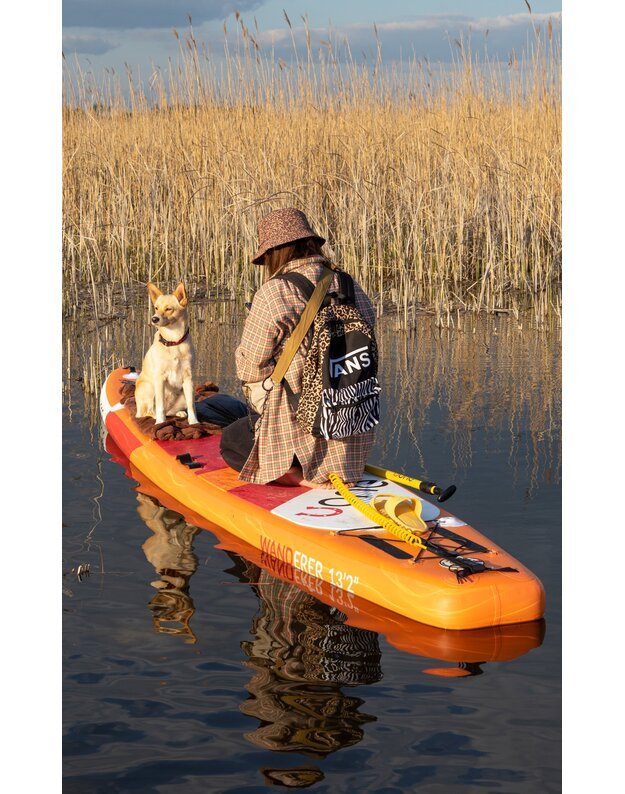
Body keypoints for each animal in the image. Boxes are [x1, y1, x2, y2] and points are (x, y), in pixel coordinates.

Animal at [134, 282, 197, 424]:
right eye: (156, 308)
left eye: (169, 309)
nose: (154, 319)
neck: (174, 342)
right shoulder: (160, 378)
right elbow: (160, 406)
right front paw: (160, 422)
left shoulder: (188, 378)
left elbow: (191, 405)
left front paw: (194, 421)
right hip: (149, 387)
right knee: (149, 412)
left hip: (182, 393)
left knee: (171, 411)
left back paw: (179, 413)